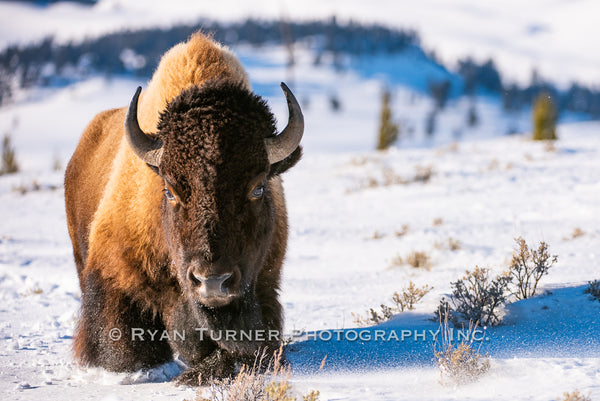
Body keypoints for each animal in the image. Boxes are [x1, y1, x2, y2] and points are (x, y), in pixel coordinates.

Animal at [64, 32, 304, 382]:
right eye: (169, 191)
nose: (212, 281)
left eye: (258, 187)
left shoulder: (264, 287)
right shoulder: (113, 277)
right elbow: (123, 347)